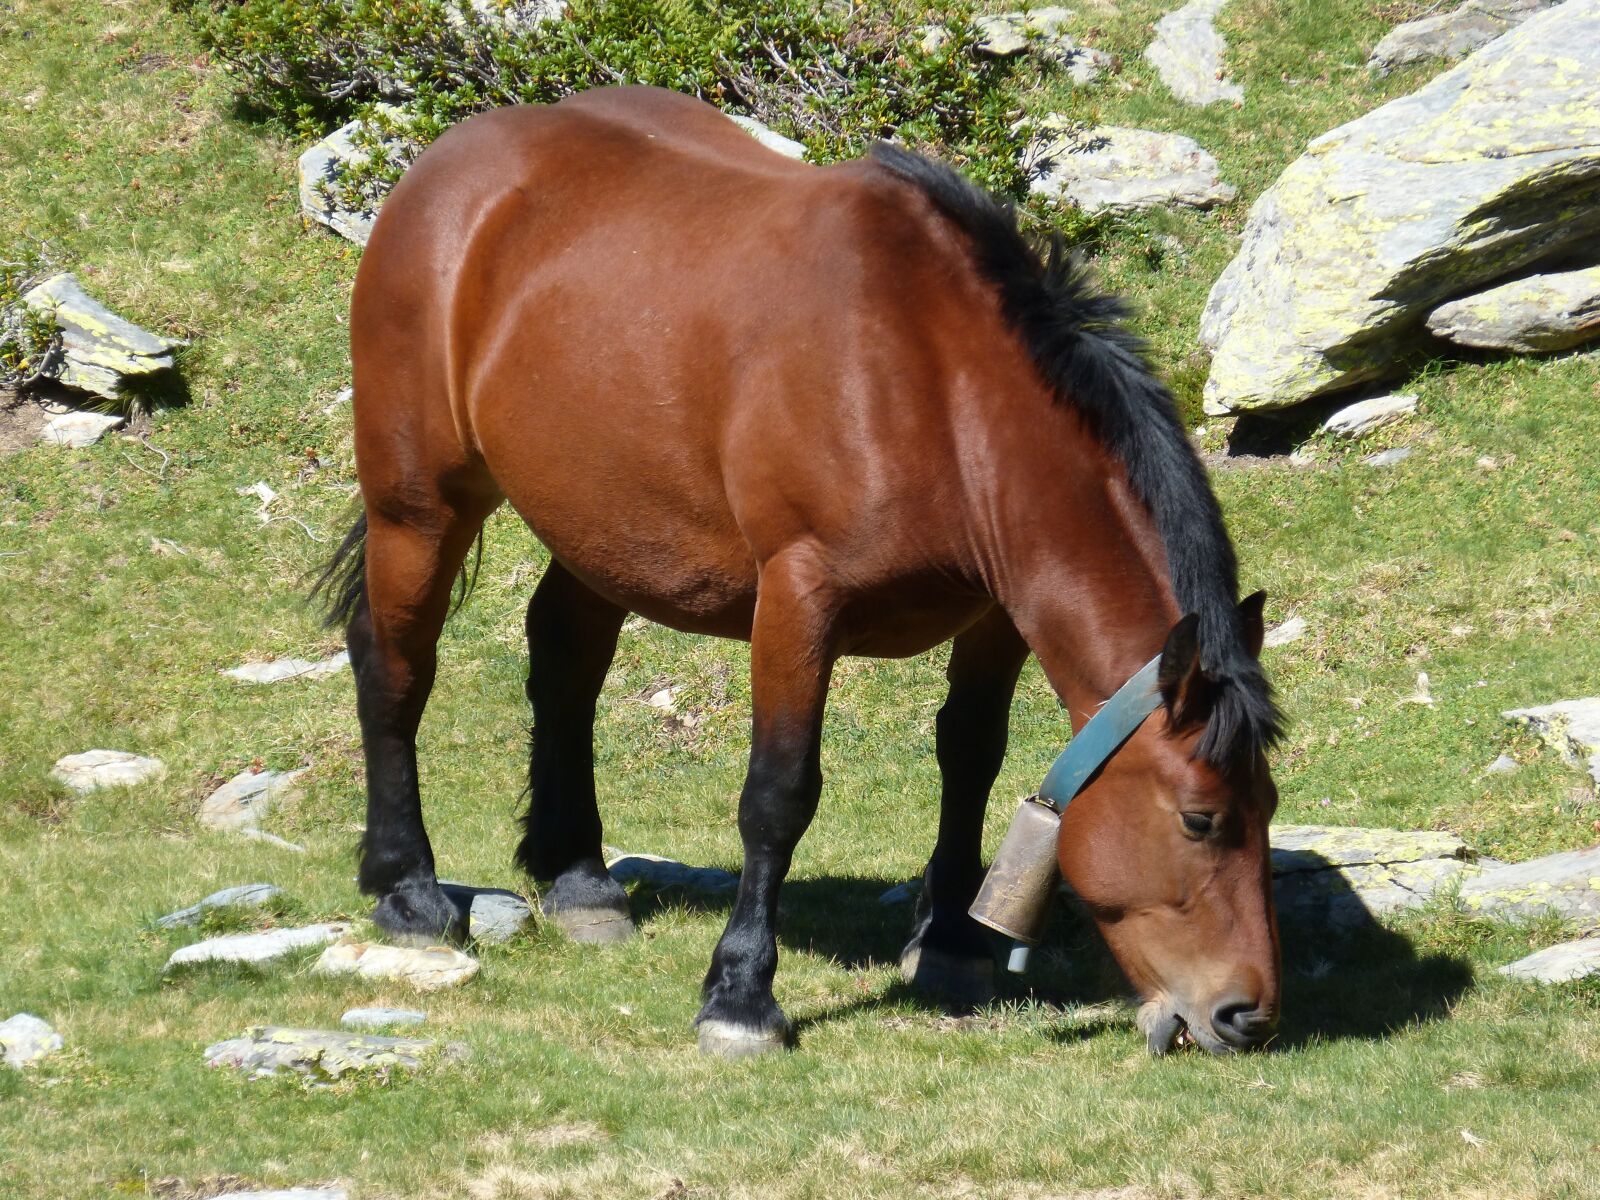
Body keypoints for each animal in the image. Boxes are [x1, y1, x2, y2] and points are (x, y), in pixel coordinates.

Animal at [313, 85, 1284, 1057]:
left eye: (1270, 807)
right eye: (1200, 819)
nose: (1246, 1013)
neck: (932, 386)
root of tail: (446, 165)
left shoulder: (995, 616)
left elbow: (970, 754)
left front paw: (951, 940)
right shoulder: (798, 597)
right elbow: (779, 794)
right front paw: (741, 993)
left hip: (595, 520)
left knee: (563, 660)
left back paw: (579, 878)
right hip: (420, 507)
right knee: (395, 664)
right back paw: (406, 887)